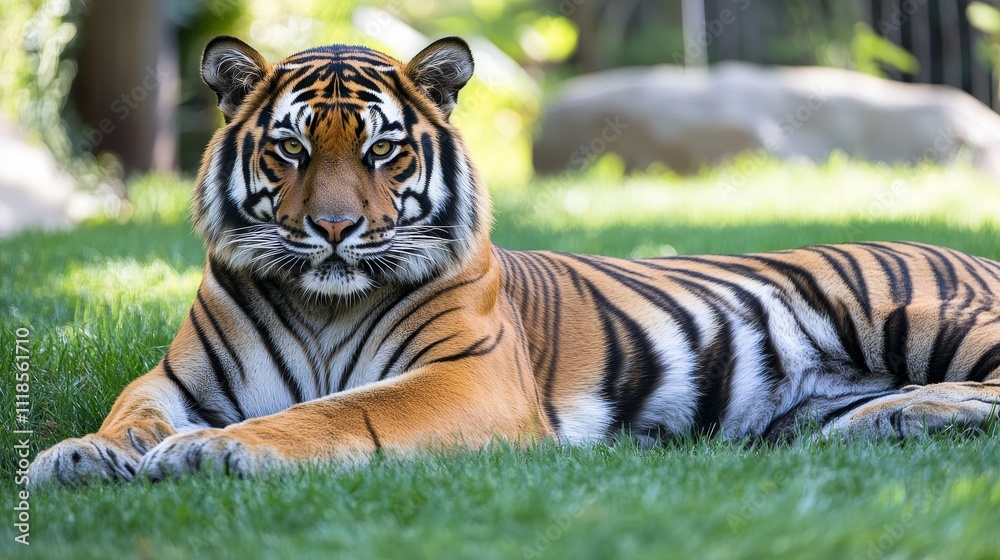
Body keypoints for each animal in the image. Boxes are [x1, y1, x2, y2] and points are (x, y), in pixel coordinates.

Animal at [28, 35, 1000, 488]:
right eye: (292, 150)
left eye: (382, 151)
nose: (336, 229)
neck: (322, 302)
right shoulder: (175, 378)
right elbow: (130, 414)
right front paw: (74, 457)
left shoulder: (467, 379)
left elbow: (335, 413)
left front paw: (208, 451)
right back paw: (874, 424)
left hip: (915, 311)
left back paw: (912, 412)